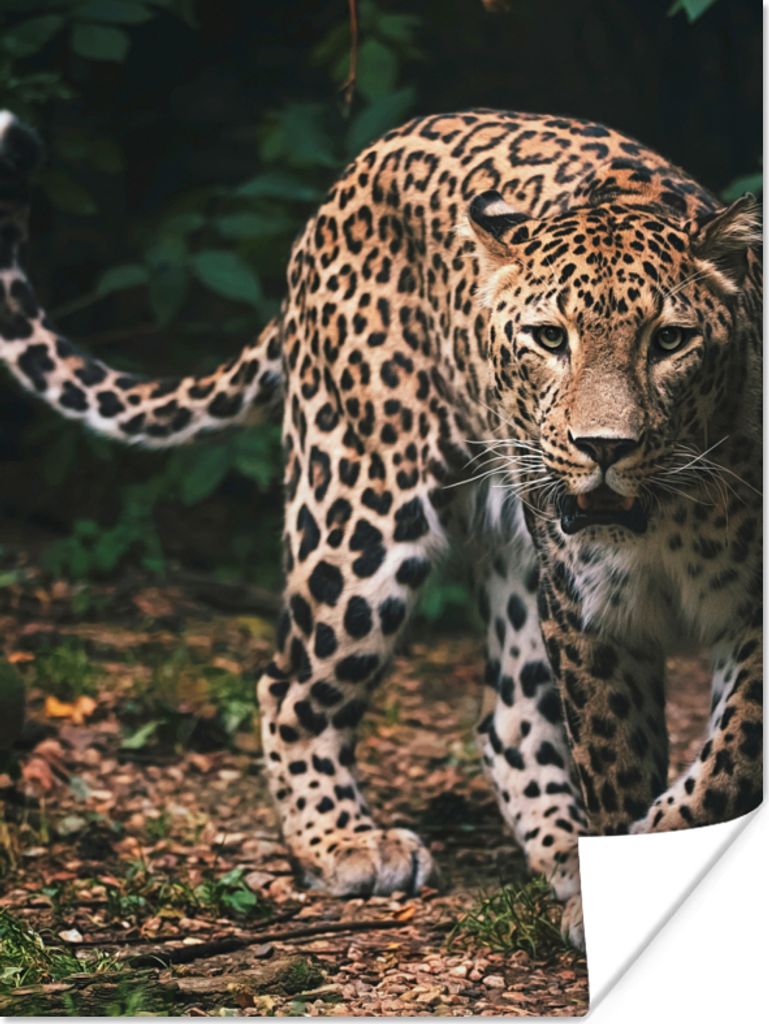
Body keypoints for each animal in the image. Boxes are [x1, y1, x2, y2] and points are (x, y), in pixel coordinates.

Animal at [0, 107, 762, 950]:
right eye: (548, 338)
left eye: (669, 340)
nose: (602, 448)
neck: (669, 513)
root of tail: (361, 165)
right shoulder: (588, 613)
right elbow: (615, 757)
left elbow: (730, 758)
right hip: (358, 511)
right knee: (289, 686)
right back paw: (346, 844)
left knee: (508, 716)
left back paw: (559, 854)